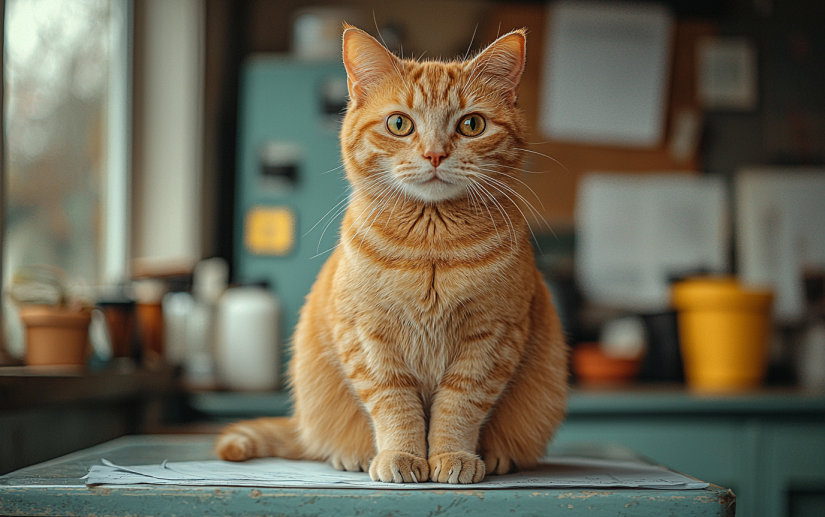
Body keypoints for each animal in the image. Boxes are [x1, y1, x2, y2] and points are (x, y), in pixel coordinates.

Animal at [214, 24, 568, 484]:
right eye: (399, 123)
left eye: (471, 124)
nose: (435, 154)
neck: (431, 247)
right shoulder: (368, 337)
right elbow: (394, 404)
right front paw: (401, 455)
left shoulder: (491, 339)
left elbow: (459, 405)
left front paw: (452, 455)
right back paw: (354, 454)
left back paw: (495, 457)